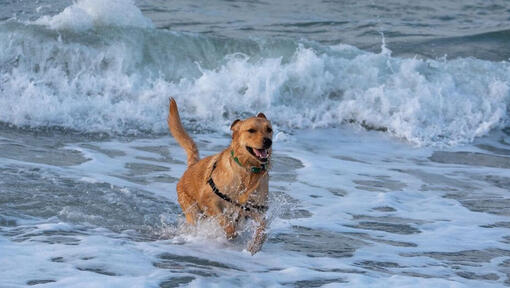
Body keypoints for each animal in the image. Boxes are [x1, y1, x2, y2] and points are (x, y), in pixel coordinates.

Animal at [167, 98, 272, 254]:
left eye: (269, 129)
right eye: (251, 130)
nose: (268, 141)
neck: (248, 171)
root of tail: (192, 166)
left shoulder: (254, 209)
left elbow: (262, 228)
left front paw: (254, 247)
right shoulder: (209, 201)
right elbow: (224, 221)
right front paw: (230, 233)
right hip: (192, 210)